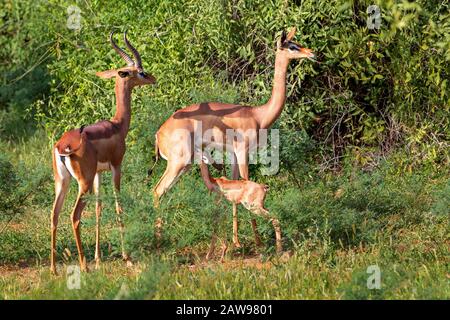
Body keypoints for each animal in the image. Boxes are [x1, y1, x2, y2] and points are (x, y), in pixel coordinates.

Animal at [50, 31, 156, 274]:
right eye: (140, 71)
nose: (152, 78)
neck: (117, 125)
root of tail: (62, 147)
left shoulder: (99, 173)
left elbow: (99, 208)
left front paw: (99, 259)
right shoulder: (117, 167)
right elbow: (118, 205)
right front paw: (126, 257)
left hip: (63, 181)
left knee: (54, 215)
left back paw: (54, 269)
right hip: (83, 183)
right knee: (74, 216)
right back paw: (84, 266)